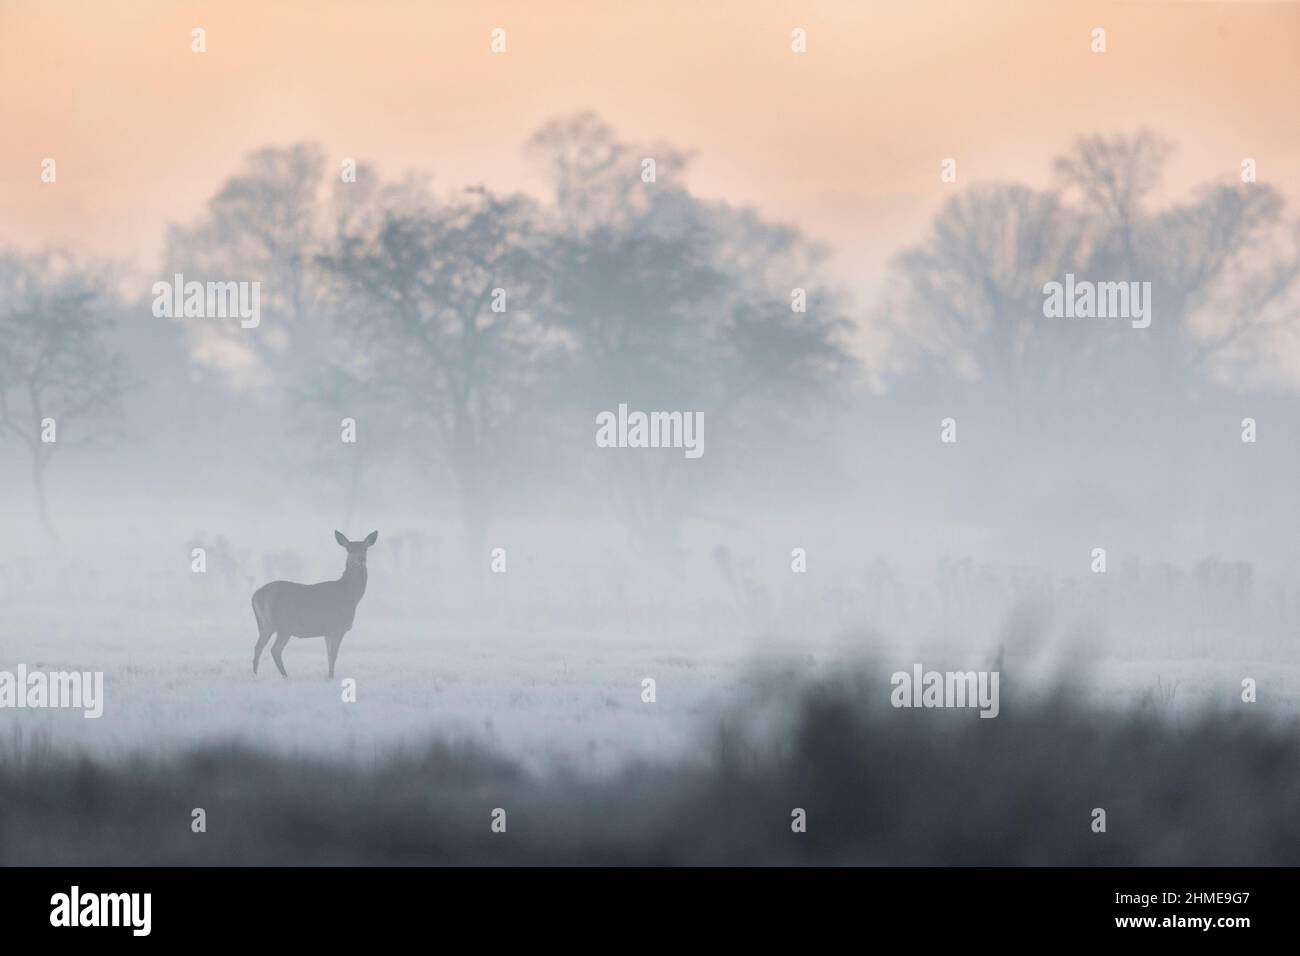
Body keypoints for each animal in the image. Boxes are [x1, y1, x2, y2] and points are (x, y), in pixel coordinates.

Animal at [251, 530, 378, 679]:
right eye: (349, 549)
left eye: (365, 549)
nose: (360, 559)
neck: (349, 595)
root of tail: (257, 595)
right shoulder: (337, 627)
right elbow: (333, 656)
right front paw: (331, 677)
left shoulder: (328, 631)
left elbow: (329, 656)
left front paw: (329, 676)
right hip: (283, 624)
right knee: (275, 650)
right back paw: (286, 676)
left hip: (266, 624)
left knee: (258, 647)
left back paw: (255, 675)